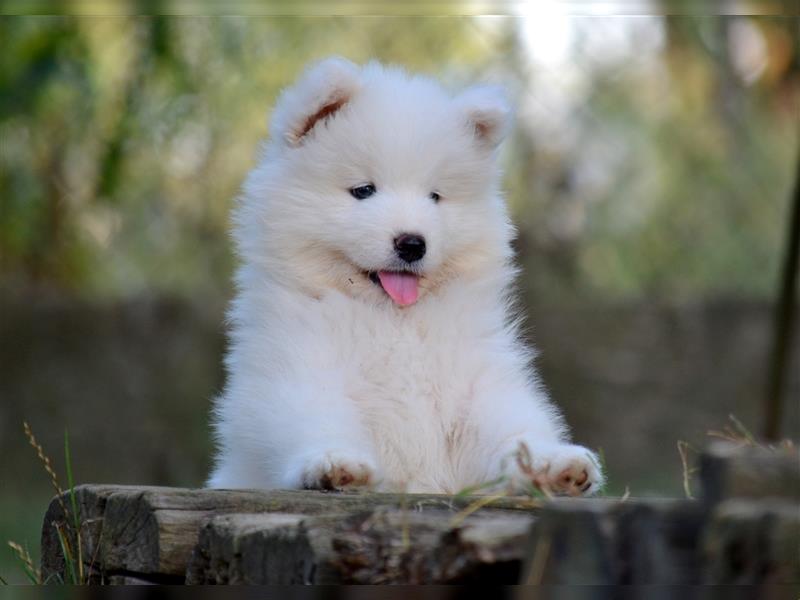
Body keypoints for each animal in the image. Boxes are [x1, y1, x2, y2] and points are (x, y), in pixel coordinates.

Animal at [206, 57, 600, 496]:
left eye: (435, 196)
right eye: (364, 190)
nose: (412, 243)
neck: (393, 321)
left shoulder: (475, 389)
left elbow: (511, 430)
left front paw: (550, 463)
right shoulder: (296, 371)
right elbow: (313, 418)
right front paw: (334, 462)